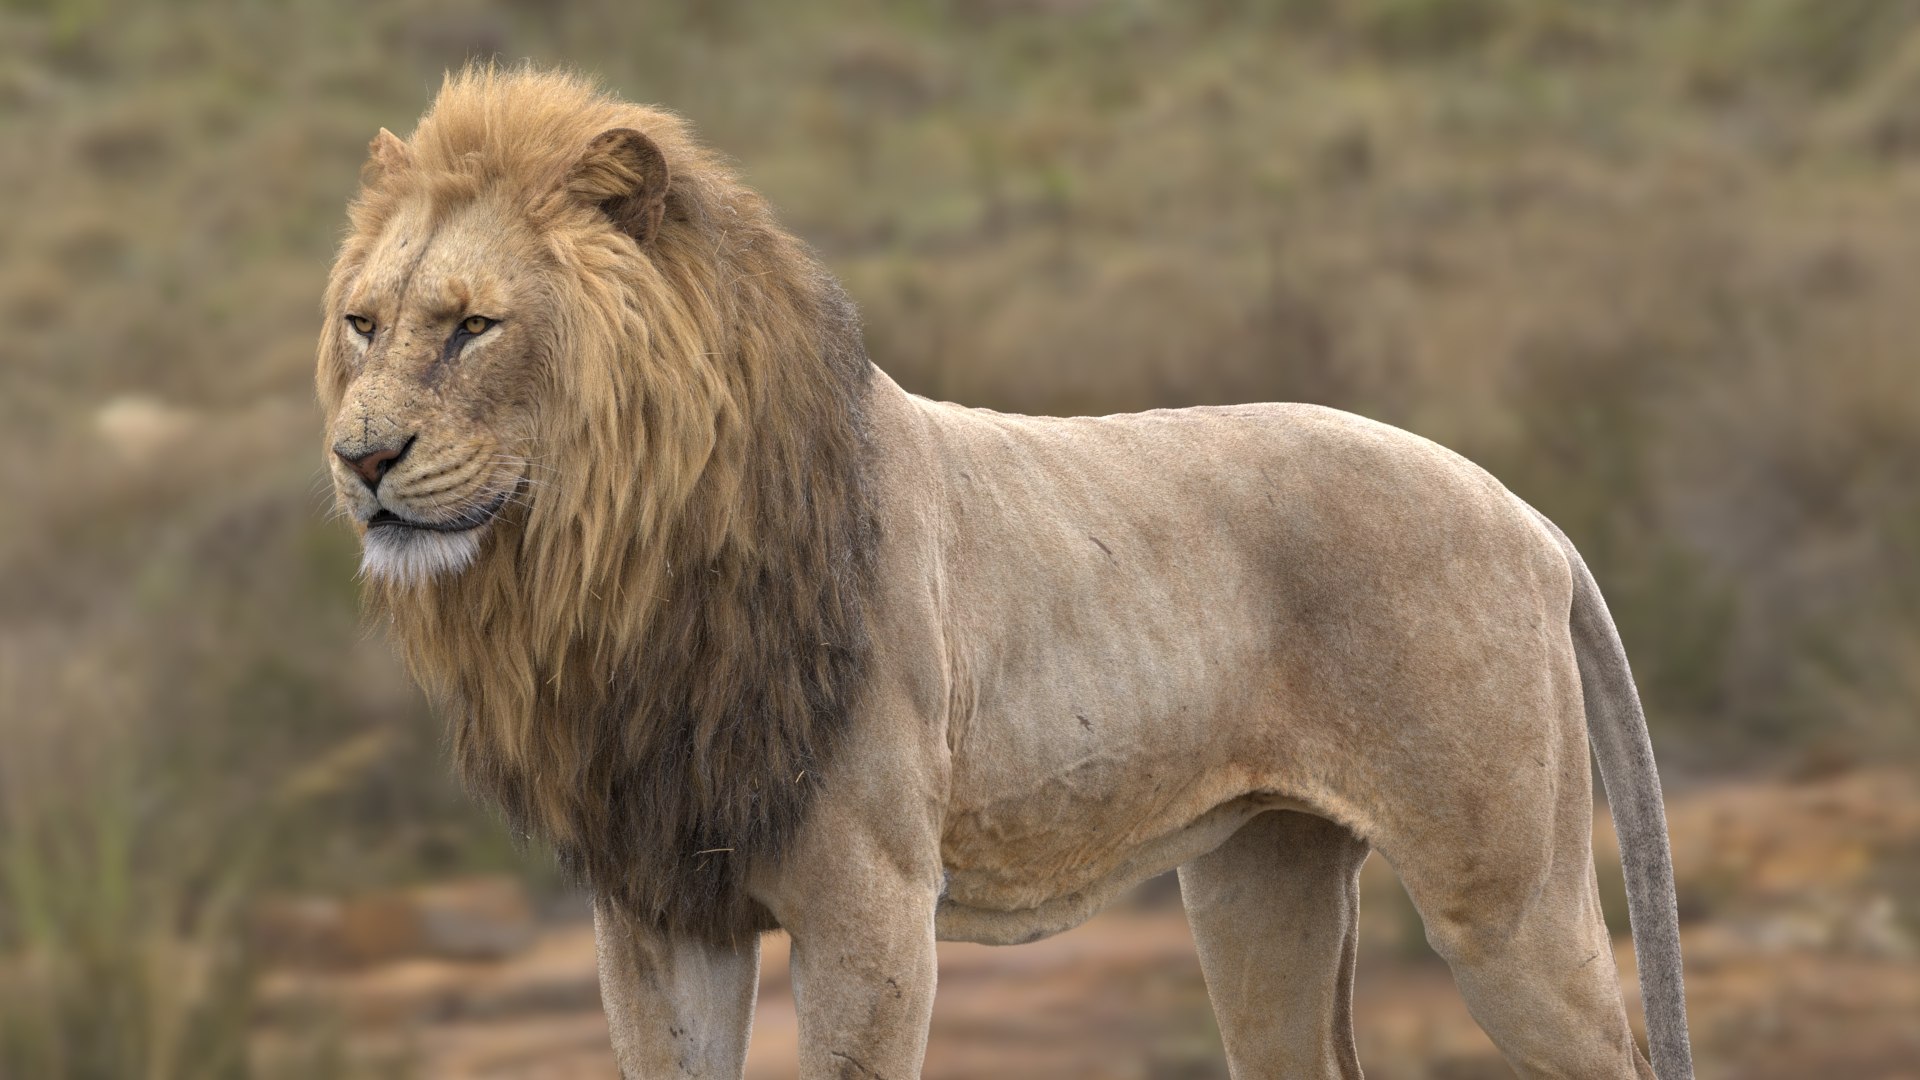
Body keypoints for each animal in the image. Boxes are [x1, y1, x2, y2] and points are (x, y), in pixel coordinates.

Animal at [319, 66, 1694, 1080]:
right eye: (364, 325)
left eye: (474, 326)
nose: (360, 458)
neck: (610, 566)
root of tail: (1528, 514)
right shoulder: (659, 911)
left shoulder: (870, 903)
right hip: (1263, 877)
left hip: (1504, 904)